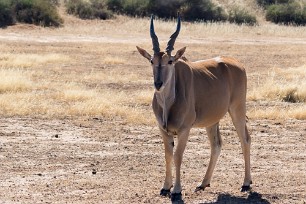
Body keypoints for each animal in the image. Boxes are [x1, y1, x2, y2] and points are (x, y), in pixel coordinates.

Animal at [136, 14, 251, 202]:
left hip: (237, 110)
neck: (168, 103)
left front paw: (176, 190)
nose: (158, 84)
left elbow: (178, 156)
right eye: (152, 61)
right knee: (216, 145)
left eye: (170, 61)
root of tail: (237, 64)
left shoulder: (184, 130)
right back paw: (203, 183)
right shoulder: (163, 130)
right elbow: (168, 155)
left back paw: (246, 183)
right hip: (212, 121)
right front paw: (165, 187)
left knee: (245, 140)